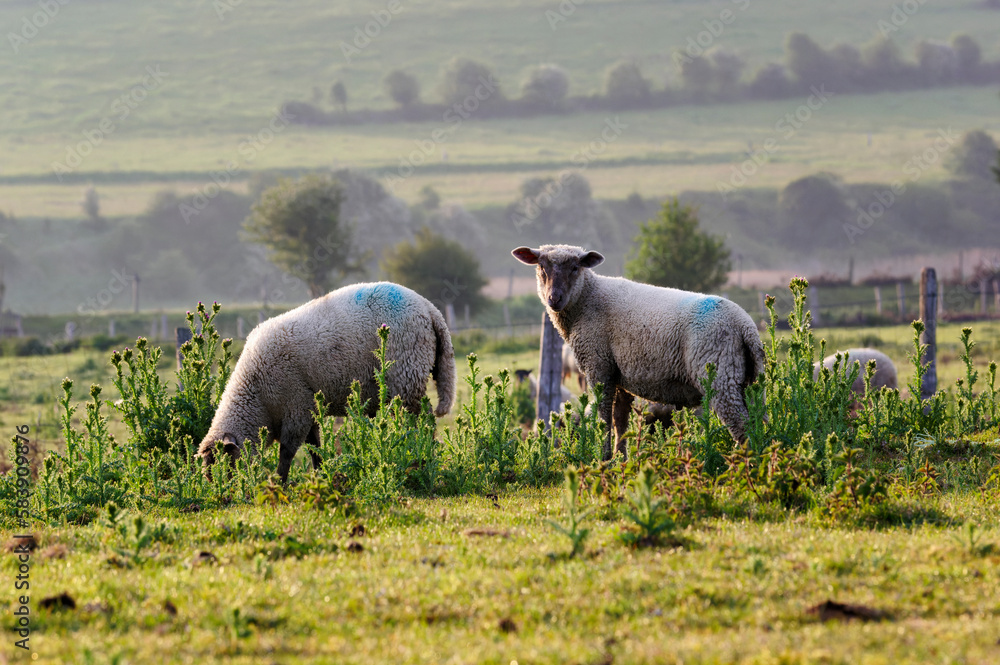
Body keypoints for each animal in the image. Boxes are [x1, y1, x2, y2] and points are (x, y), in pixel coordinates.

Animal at [197, 282, 456, 482]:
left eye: (224, 464)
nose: (226, 494)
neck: (257, 400)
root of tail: (430, 309)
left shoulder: (296, 409)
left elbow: (288, 452)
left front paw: (279, 481)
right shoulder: (308, 408)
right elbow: (315, 448)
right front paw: (321, 474)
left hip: (405, 375)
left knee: (421, 422)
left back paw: (420, 460)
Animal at [512, 244, 766, 459]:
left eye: (575, 268)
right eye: (541, 267)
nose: (554, 299)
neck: (586, 300)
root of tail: (746, 326)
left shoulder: (599, 366)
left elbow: (604, 416)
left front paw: (604, 457)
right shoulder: (619, 373)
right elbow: (620, 419)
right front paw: (620, 458)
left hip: (720, 376)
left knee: (741, 425)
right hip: (749, 379)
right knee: (758, 420)